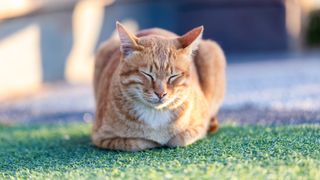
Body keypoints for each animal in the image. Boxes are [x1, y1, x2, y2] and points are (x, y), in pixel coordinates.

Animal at [91, 22, 226, 152]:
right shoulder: (102, 137)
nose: (161, 93)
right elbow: (137, 142)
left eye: (173, 76)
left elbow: (180, 139)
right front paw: (154, 141)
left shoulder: (200, 125)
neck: (156, 114)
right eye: (147, 74)